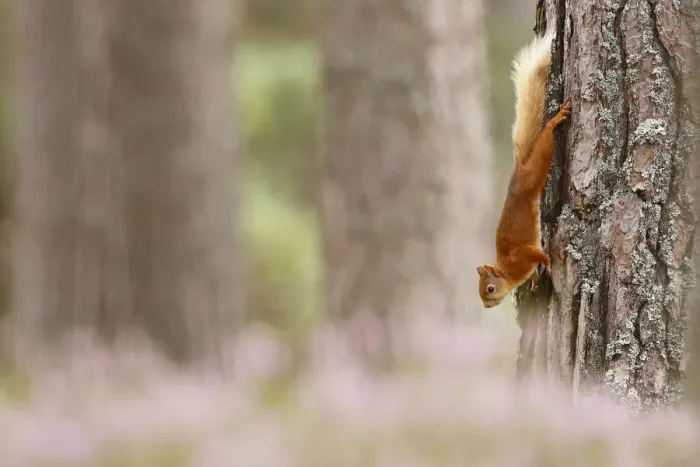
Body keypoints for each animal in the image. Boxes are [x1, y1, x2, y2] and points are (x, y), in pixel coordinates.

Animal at [477, 30, 572, 309]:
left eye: (489, 288)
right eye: (479, 291)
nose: (486, 306)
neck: (508, 271)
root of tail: (518, 170)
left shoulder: (524, 255)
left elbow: (539, 254)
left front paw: (547, 266)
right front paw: (533, 282)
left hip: (535, 171)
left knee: (545, 144)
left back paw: (555, 120)